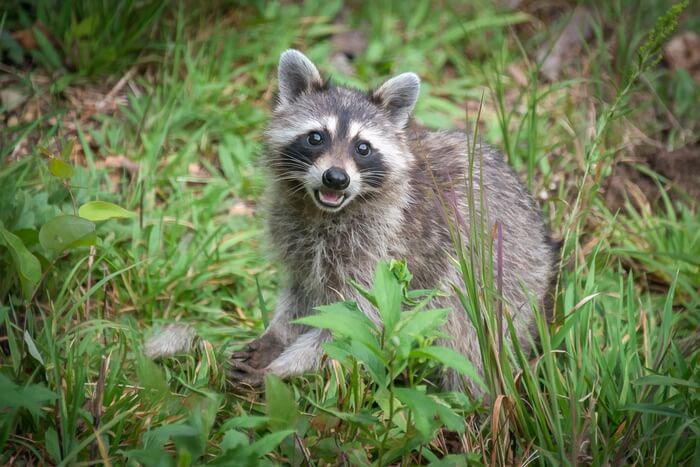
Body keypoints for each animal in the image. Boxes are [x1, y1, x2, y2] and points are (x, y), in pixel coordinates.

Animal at [223, 49, 556, 396]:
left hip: (507, 279)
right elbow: (301, 294)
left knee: (468, 340)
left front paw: (281, 368)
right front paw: (277, 337)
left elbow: (354, 324)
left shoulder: (380, 251)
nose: (336, 178)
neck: (325, 212)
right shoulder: (297, 238)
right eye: (316, 137)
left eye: (363, 147)